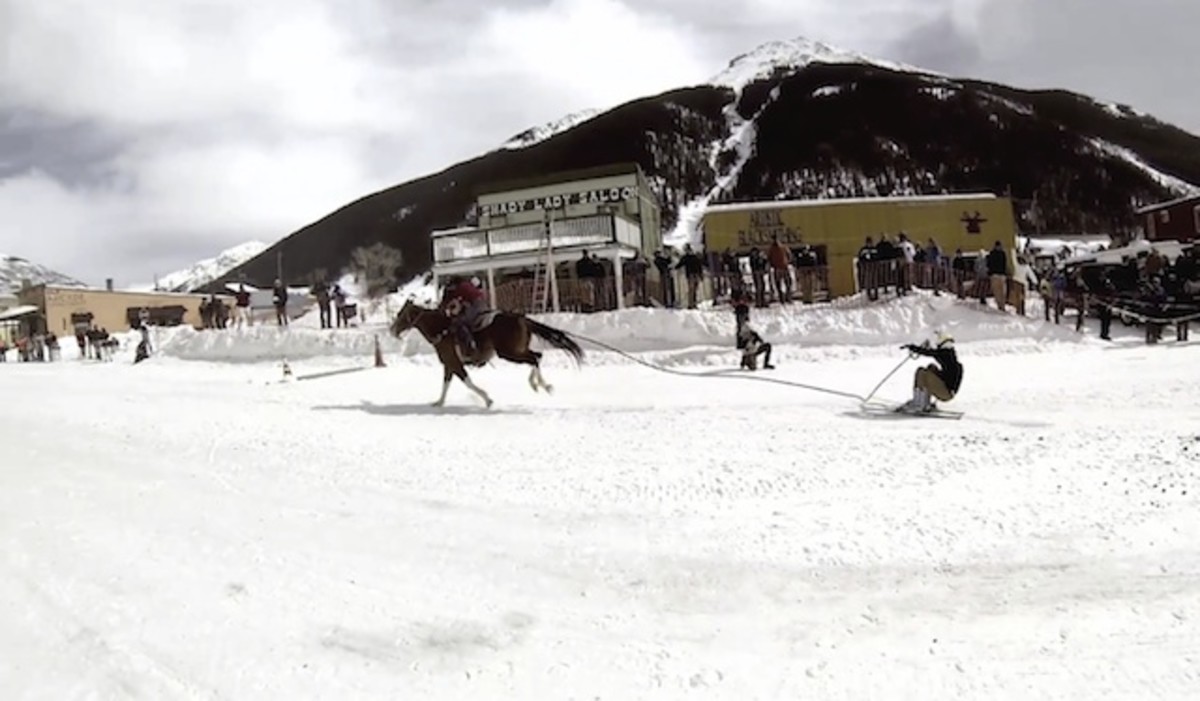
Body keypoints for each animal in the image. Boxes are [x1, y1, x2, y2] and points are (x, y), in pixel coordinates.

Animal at [389, 299, 585, 408]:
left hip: (509, 353)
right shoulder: (449, 364)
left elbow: (468, 382)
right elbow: (445, 384)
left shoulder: (455, 363)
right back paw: (541, 385)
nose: (392, 331)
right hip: (516, 351)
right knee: (537, 356)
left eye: (400, 315)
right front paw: (439, 402)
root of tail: (521, 318)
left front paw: (487, 399)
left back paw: (538, 384)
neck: (442, 329)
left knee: (534, 358)